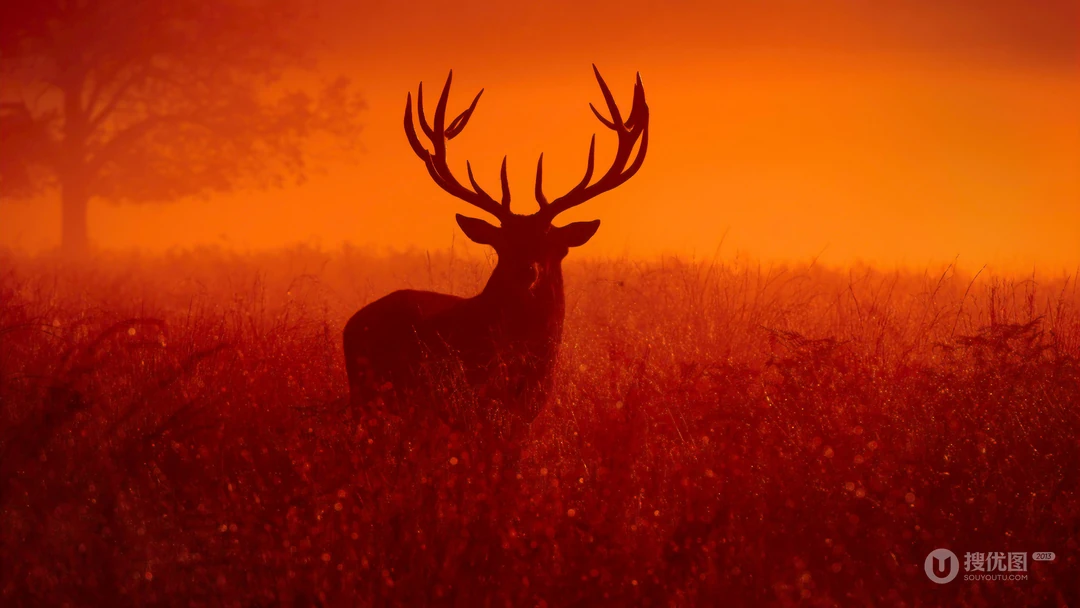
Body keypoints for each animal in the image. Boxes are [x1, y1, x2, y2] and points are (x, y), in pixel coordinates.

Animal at [343, 66, 648, 440]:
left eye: (552, 245)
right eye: (502, 244)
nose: (526, 270)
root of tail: (350, 324)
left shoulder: (527, 411)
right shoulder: (470, 404)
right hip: (368, 395)